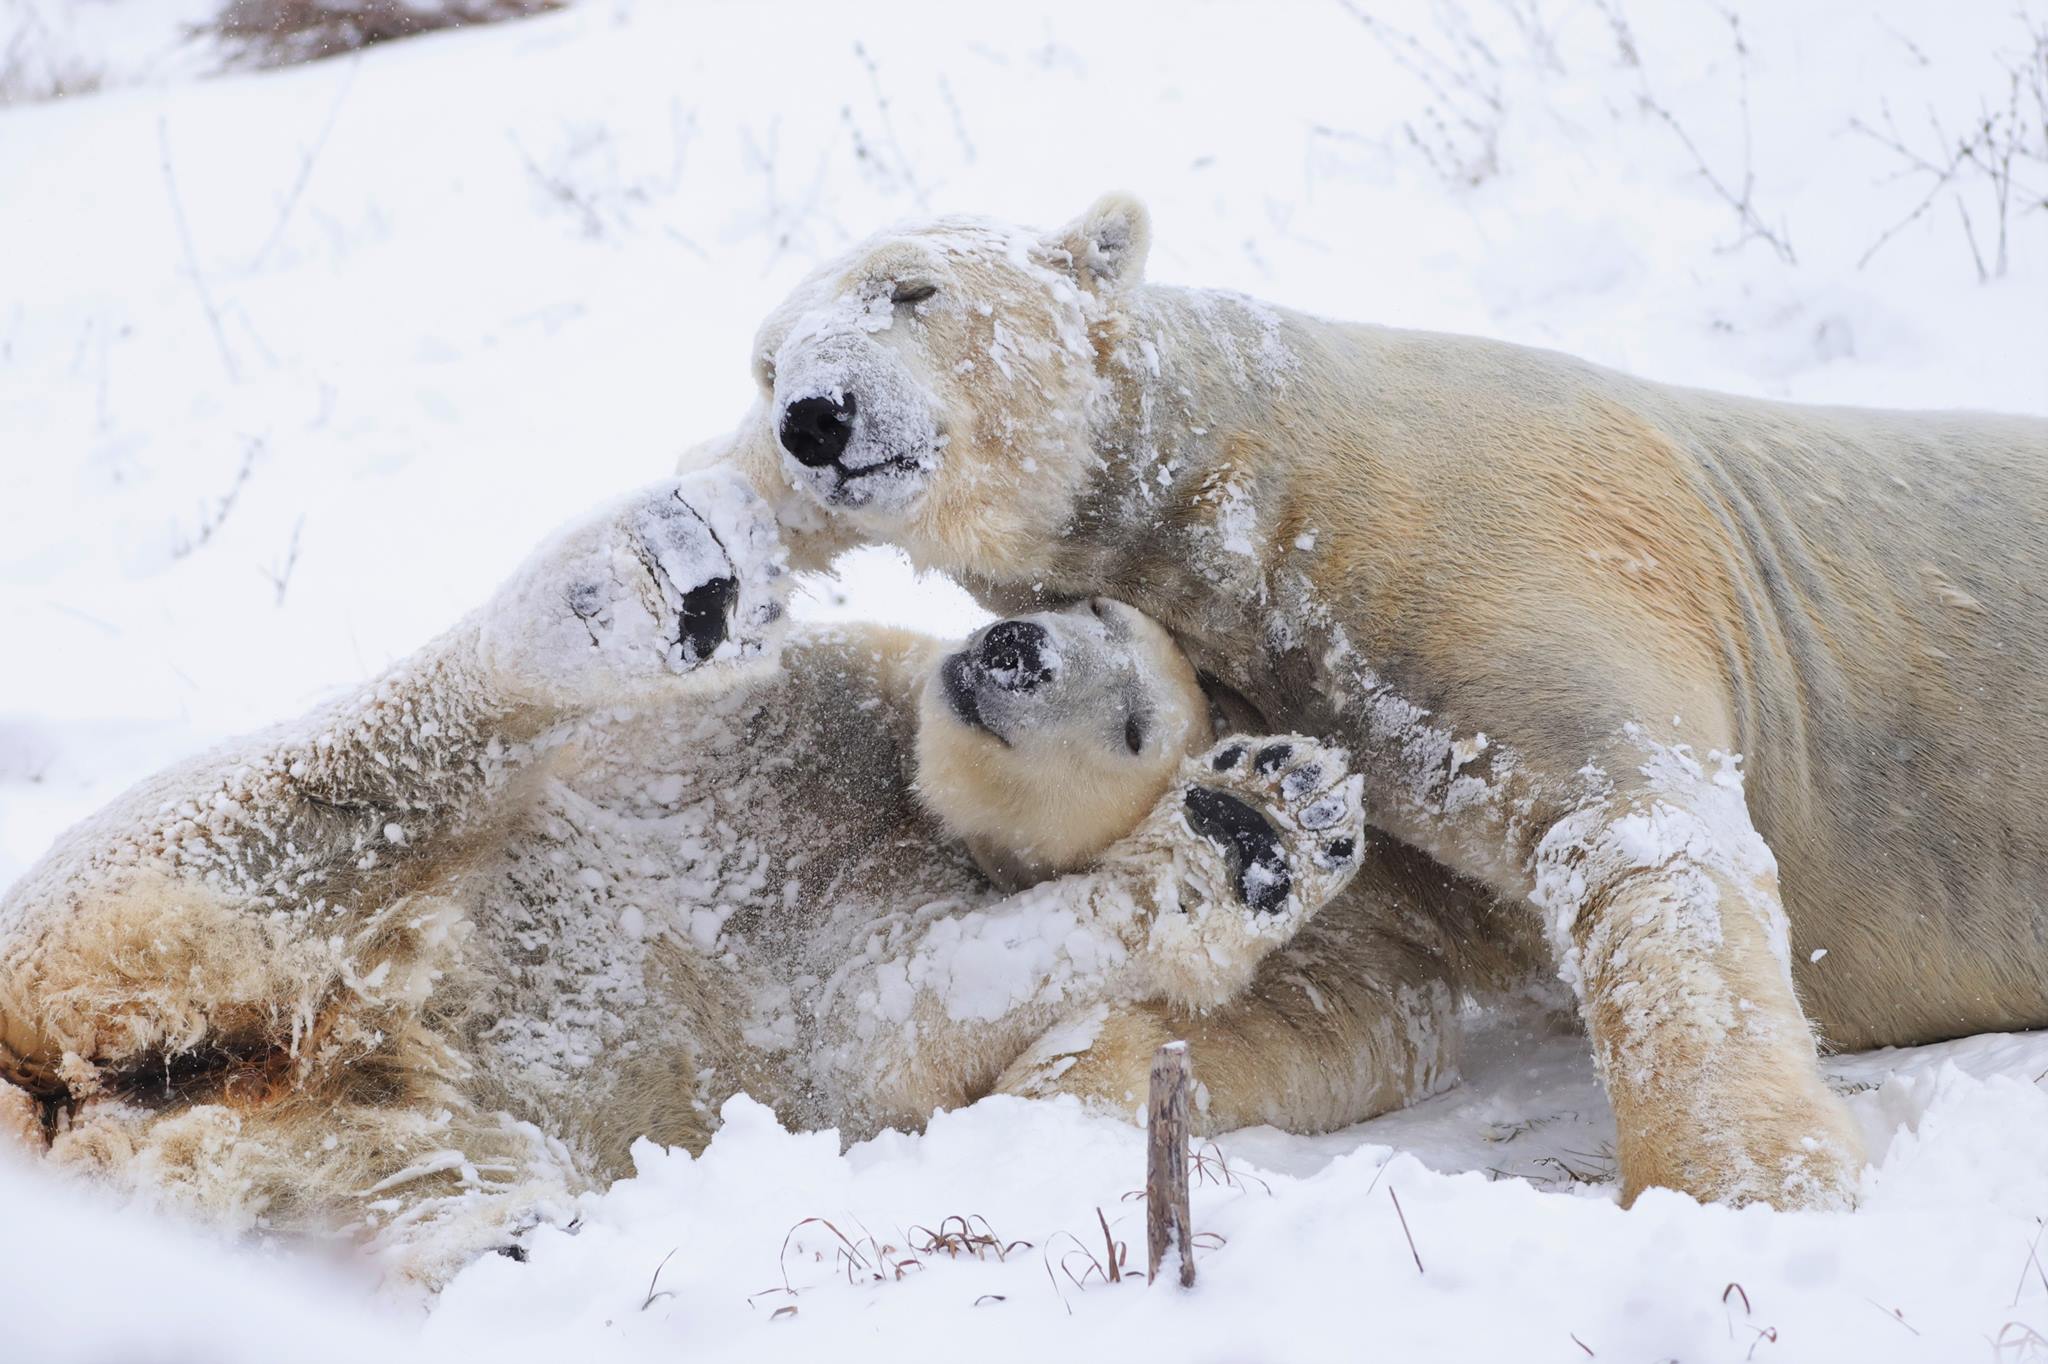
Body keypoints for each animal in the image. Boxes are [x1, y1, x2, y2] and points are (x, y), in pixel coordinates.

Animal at [4, 471, 1376, 1286]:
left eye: (1136, 724)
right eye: (1089, 607)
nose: (1013, 646)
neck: (903, 803)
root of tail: (88, 1098)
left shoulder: (890, 933)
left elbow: (903, 1012)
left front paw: (1257, 820)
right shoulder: (813, 701)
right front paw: (1267, 805)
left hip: (345, 1109)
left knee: (410, 1165)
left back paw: (515, 1240)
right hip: (107, 907)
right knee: (290, 811)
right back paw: (638, 594)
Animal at [720, 196, 2048, 1204]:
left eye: (911, 289)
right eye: (764, 360)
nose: (814, 414)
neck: (1278, 491)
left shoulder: (1521, 541)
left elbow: (1640, 834)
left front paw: (1745, 1179)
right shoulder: (1321, 735)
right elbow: (1346, 985)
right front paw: (1059, 1082)